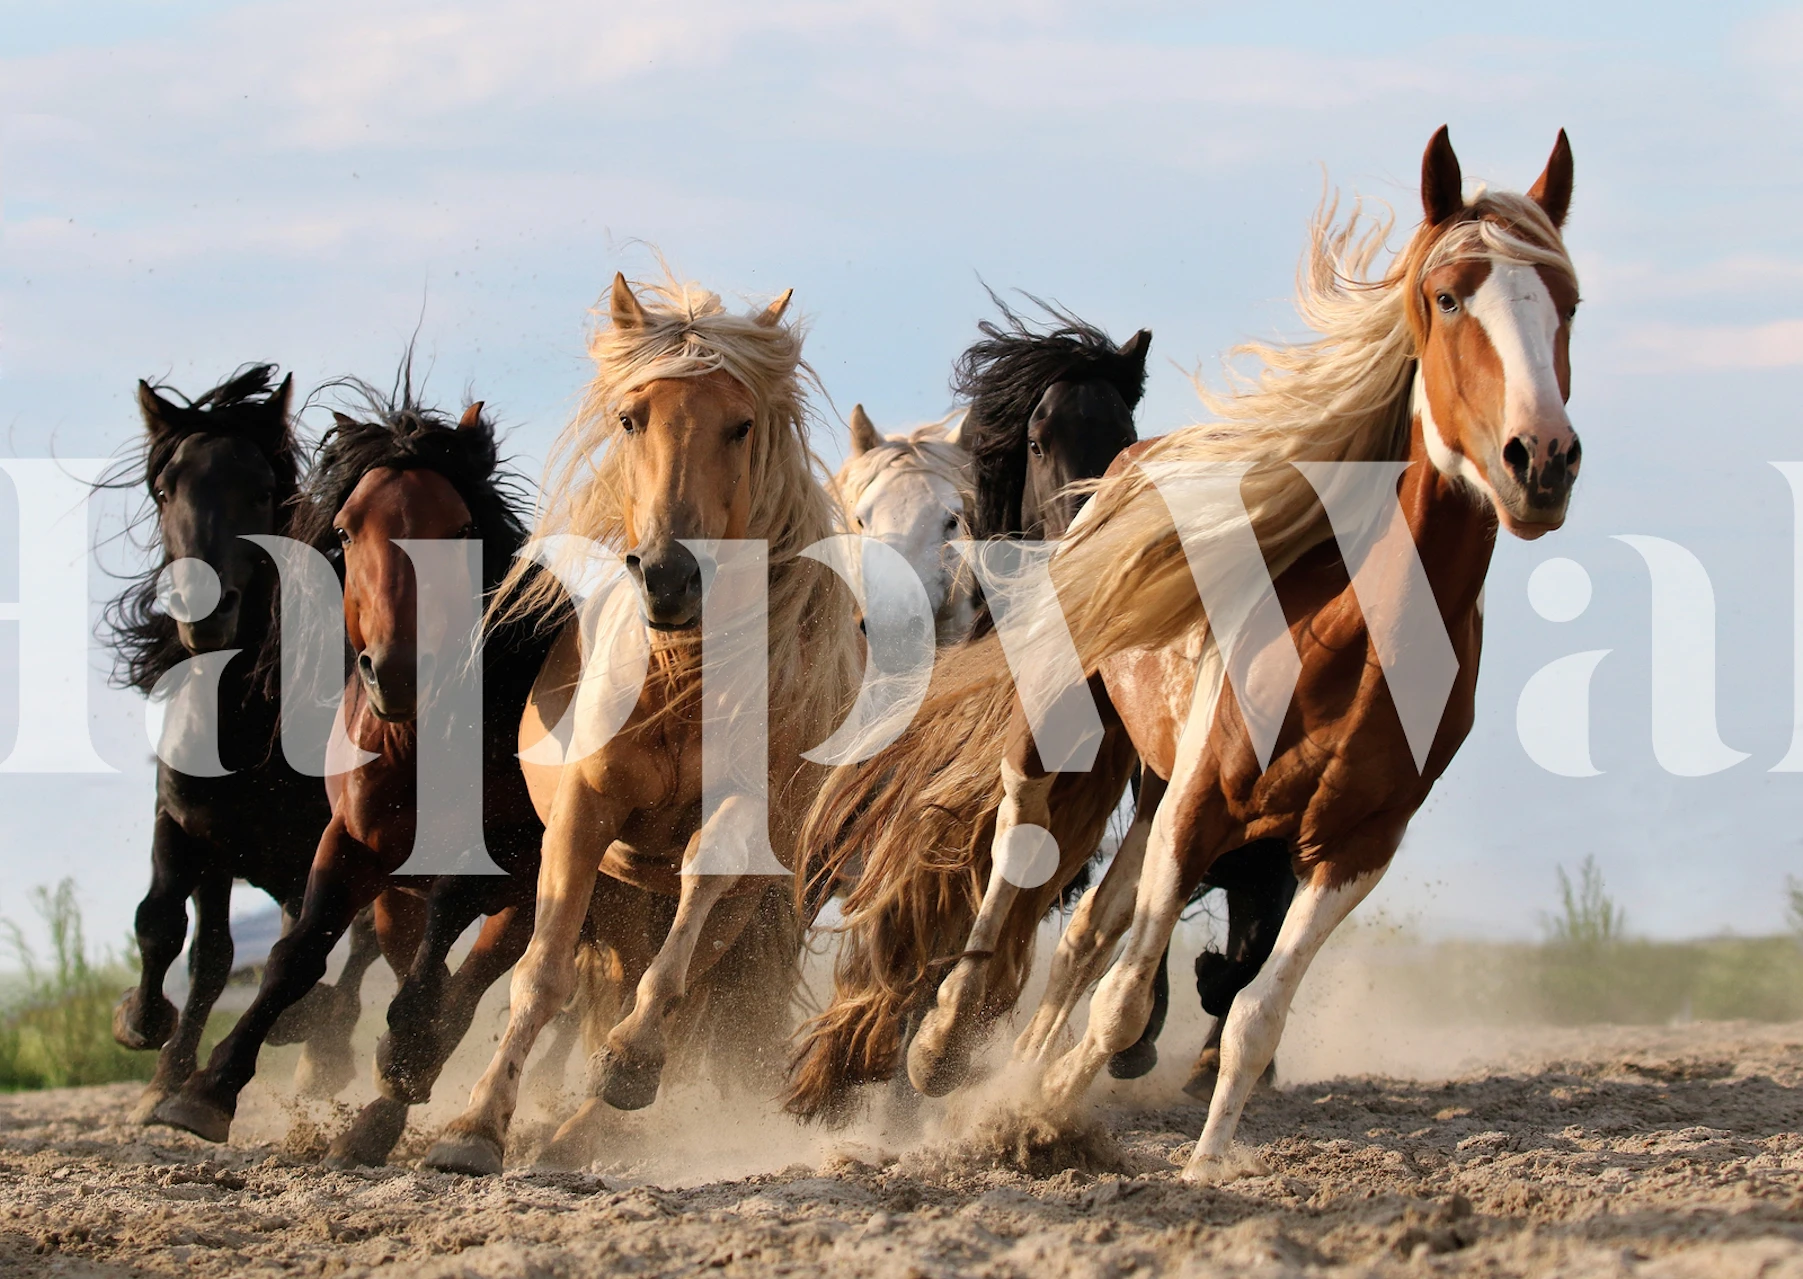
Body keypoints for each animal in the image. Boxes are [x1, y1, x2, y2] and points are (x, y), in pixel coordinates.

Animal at [102, 365, 381, 1124]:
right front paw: (148, 1042)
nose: (204, 610)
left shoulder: (321, 844)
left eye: (260, 490)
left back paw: (323, 1048)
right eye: (166, 489)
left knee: (361, 946)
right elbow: (175, 933)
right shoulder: (192, 828)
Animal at [150, 385, 564, 1160]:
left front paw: (404, 1051)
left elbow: (447, 939)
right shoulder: (351, 842)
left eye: (463, 528)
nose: (396, 671)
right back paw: (374, 1120)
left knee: (471, 982)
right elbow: (297, 951)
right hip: (401, 896)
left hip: (531, 893)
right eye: (344, 532)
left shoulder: (501, 858)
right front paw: (205, 1090)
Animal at [420, 273, 861, 1176]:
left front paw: (627, 1062)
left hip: (740, 910)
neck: (679, 686)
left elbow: (675, 959)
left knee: (683, 994)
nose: (668, 576)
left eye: (741, 424)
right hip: (623, 899)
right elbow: (542, 974)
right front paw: (473, 1126)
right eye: (631, 418)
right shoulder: (584, 816)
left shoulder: (739, 821)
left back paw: (587, 1123)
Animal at [788, 127, 1581, 1180]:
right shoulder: (1201, 800)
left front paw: (1192, 1161)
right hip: (1067, 725)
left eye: (1566, 301)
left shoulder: (1352, 847)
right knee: (1019, 846)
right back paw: (944, 1041)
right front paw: (1027, 1107)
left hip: (1155, 777)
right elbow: (1121, 994)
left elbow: (1249, 1011)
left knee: (1087, 929)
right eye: (1448, 295)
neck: (1350, 635)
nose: (1540, 460)